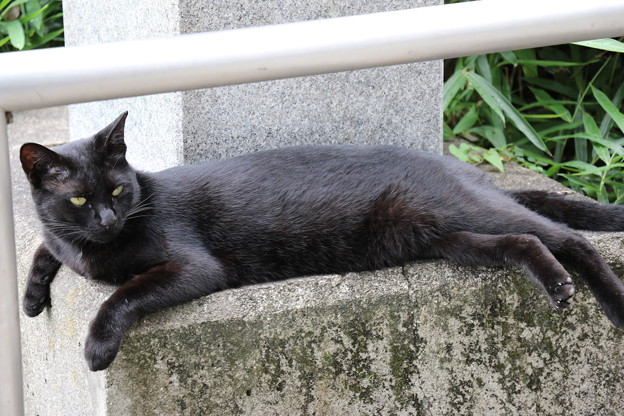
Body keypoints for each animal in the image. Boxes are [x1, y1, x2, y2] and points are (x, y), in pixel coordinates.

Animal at [19, 111, 624, 370]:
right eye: (80, 200)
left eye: (119, 190)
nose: (106, 219)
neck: (96, 248)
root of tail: (460, 166)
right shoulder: (66, 240)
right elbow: (45, 247)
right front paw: (30, 297)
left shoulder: (192, 268)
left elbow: (124, 294)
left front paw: (97, 346)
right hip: (453, 237)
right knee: (527, 241)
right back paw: (555, 283)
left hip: (465, 212)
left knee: (573, 237)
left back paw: (608, 303)